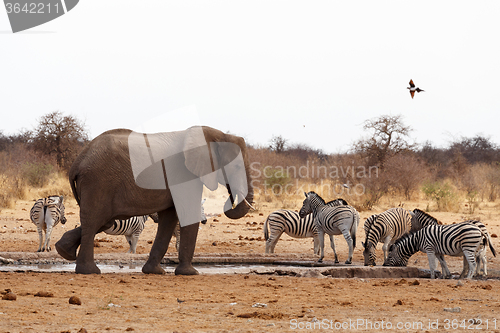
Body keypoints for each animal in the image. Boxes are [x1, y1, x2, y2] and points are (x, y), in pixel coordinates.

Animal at [55, 126, 254, 274]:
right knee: (94, 220)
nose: (231, 195)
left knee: (102, 220)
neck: (215, 135)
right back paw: (89, 271)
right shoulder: (185, 175)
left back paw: (63, 250)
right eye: (237, 166)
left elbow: (169, 217)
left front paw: (154, 271)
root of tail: (77, 162)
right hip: (98, 181)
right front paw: (191, 273)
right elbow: (186, 212)